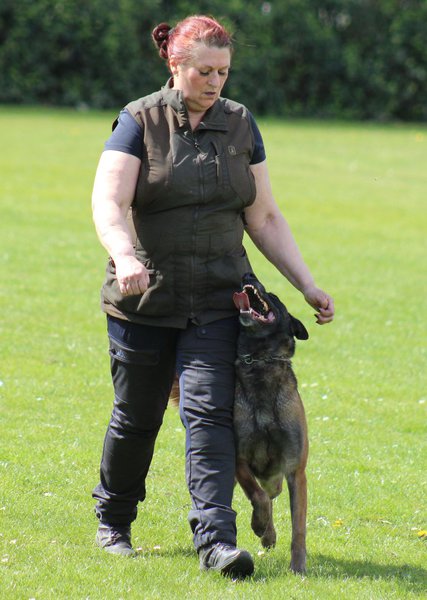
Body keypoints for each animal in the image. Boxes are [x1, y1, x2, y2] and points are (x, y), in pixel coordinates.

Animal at [233, 273, 309, 574]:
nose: (247, 274)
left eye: (274, 297)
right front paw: (261, 526)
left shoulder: (295, 471)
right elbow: (257, 496)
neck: (260, 362)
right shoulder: (238, 459)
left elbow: (299, 528)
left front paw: (298, 566)